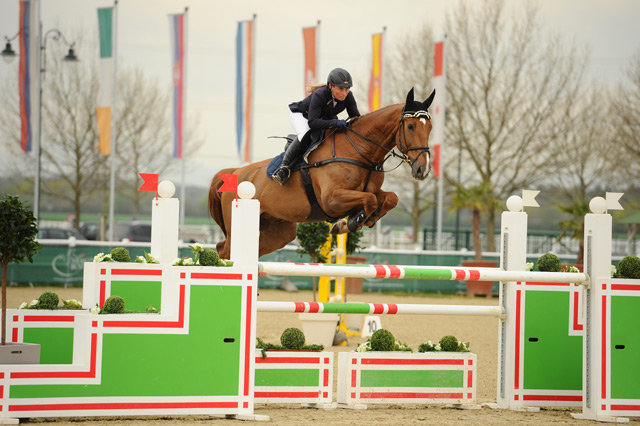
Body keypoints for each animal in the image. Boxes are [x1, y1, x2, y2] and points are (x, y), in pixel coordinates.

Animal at [209, 88, 436, 258]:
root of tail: (235, 172)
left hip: (278, 232)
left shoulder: (369, 191)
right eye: (410, 126)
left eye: (430, 128)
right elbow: (370, 200)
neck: (360, 150)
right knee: (225, 250)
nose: (422, 169)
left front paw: (360, 220)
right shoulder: (331, 200)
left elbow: (390, 198)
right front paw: (351, 222)